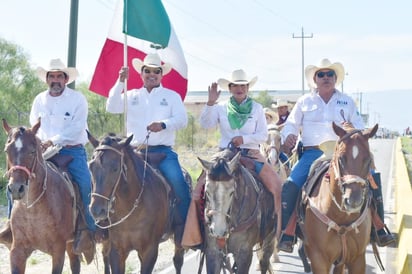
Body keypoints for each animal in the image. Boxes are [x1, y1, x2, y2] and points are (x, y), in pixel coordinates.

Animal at [1, 119, 83, 274]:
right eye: (7, 150)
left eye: (32, 151)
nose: (16, 189)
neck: (33, 209)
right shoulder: (17, 250)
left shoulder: (58, 250)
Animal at [87, 133, 186, 274]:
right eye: (91, 166)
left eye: (115, 168)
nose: (96, 210)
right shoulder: (117, 251)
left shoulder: (150, 251)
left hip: (178, 237)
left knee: (178, 260)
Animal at [300, 123, 376, 272]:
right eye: (341, 158)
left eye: (368, 160)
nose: (353, 200)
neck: (341, 218)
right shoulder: (319, 259)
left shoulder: (358, 259)